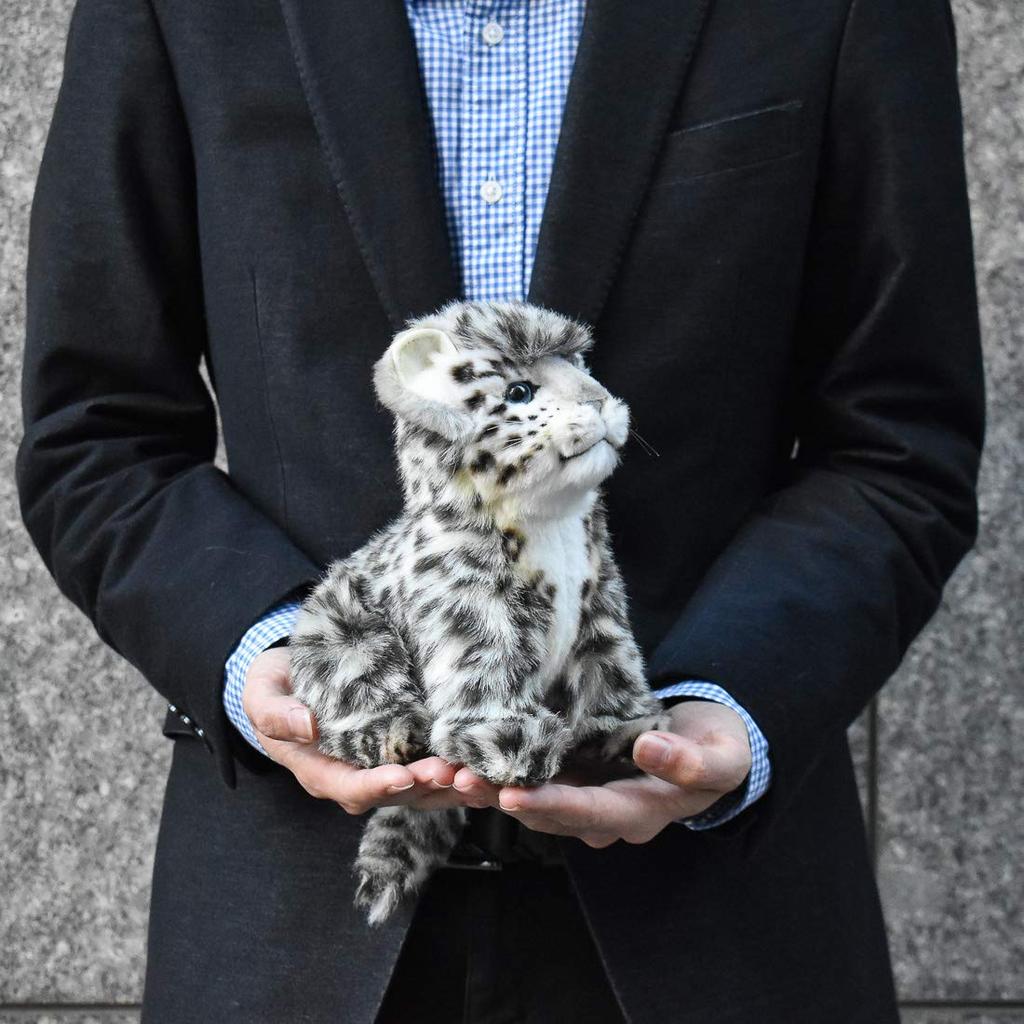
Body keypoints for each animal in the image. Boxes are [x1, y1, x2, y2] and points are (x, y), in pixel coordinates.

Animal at [289, 300, 666, 925]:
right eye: (519, 390)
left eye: (579, 365)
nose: (598, 400)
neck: (556, 527)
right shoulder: (474, 606)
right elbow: (485, 670)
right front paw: (510, 739)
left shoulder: (602, 601)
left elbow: (612, 664)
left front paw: (626, 727)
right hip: (343, 640)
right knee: (349, 708)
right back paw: (394, 736)